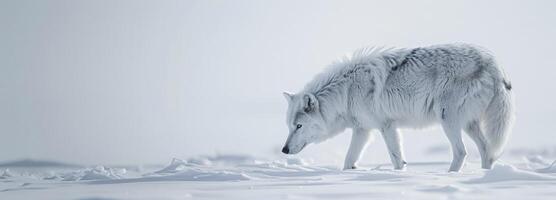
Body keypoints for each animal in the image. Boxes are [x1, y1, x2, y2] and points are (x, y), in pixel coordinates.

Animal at [284, 43, 516, 172]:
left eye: (298, 126)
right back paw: (485, 175)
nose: (284, 150)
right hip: (468, 124)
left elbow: (396, 159)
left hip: (448, 120)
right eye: (289, 126)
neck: (346, 91)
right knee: (487, 151)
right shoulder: (363, 130)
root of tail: (494, 64)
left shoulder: (386, 126)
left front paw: (398, 177)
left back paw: (448, 177)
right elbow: (348, 160)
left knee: (461, 152)